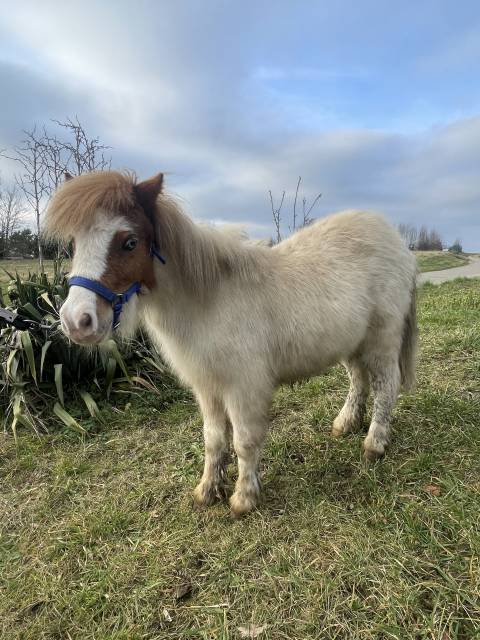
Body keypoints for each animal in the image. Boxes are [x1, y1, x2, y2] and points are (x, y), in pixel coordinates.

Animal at [44, 171, 417, 516]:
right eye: (74, 243)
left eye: (130, 242)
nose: (76, 321)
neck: (208, 302)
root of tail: (394, 238)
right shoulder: (208, 388)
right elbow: (213, 440)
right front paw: (208, 490)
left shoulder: (243, 388)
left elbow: (244, 441)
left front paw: (243, 498)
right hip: (352, 344)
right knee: (358, 380)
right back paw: (345, 424)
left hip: (381, 340)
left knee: (385, 386)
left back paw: (374, 444)